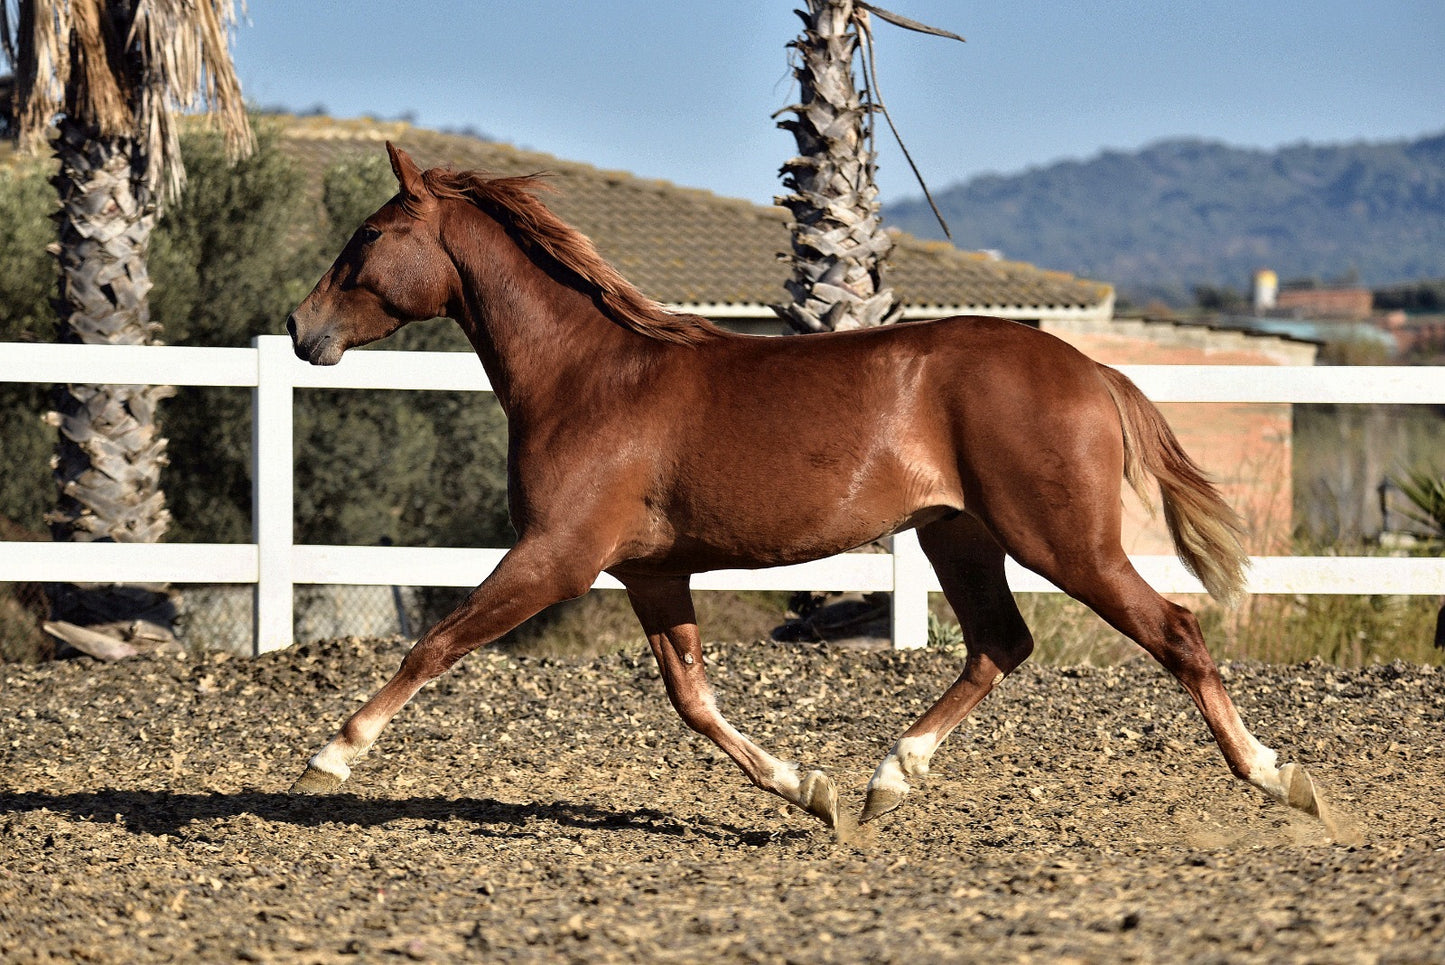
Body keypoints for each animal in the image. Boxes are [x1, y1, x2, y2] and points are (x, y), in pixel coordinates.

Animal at [285, 142, 1326, 829]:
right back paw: (885, 778)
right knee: (1000, 642)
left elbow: (438, 641)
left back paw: (1278, 778)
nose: (301, 328)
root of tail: (1087, 368)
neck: (588, 377)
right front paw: (809, 788)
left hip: (1063, 540)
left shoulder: (556, 556)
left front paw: (329, 755)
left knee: (1173, 630)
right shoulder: (652, 574)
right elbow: (693, 699)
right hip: (959, 534)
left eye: (369, 233)